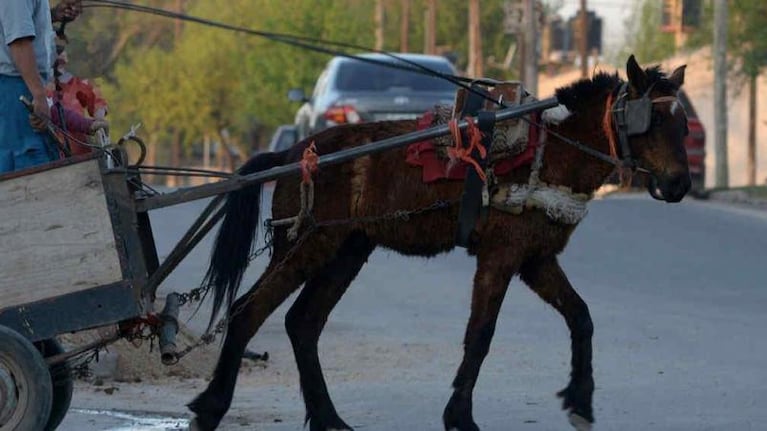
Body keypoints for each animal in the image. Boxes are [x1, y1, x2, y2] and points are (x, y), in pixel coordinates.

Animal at [189, 57, 692, 431]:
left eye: (684, 123)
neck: (551, 152)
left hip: (347, 250)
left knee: (303, 322)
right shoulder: (500, 255)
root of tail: (294, 154)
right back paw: (212, 405)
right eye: (651, 119)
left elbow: (581, 317)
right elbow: (480, 335)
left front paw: (581, 402)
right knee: (249, 310)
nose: (680, 184)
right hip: (307, 244)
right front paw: (460, 417)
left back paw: (328, 417)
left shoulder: (536, 259)